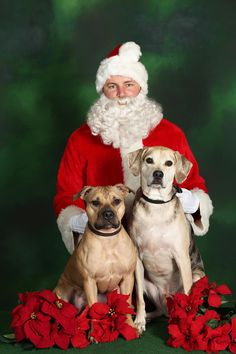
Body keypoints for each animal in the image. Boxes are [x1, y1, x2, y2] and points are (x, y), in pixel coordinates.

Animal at [54, 185, 137, 330]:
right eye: (95, 202)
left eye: (117, 201)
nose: (108, 214)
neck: (108, 240)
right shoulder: (90, 281)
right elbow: (94, 308)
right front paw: (95, 332)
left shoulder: (127, 277)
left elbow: (126, 303)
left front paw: (129, 326)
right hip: (60, 294)